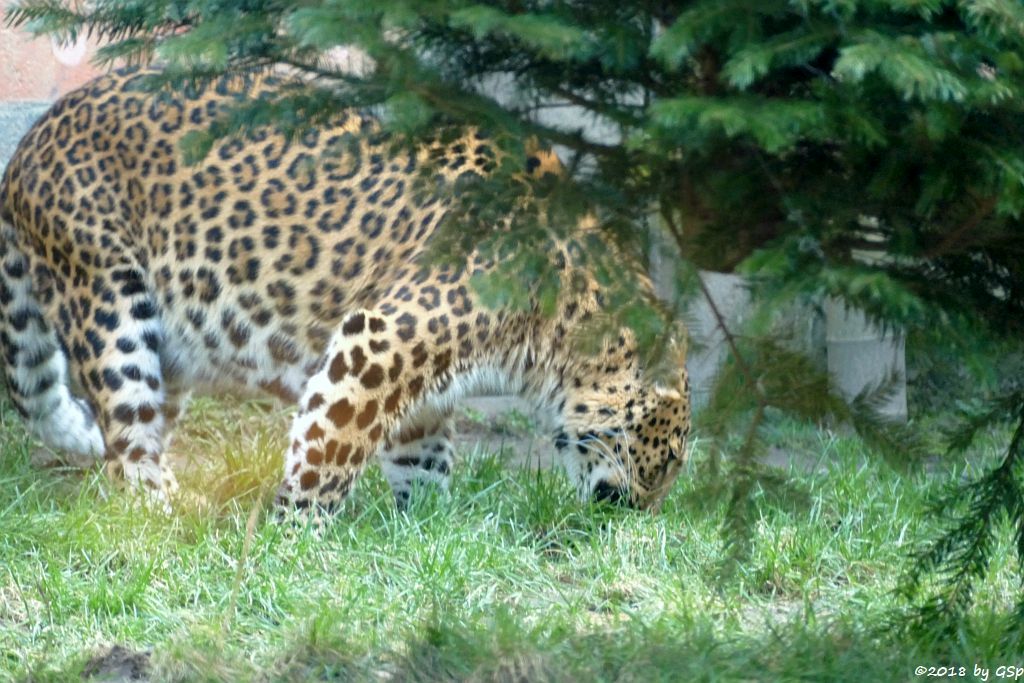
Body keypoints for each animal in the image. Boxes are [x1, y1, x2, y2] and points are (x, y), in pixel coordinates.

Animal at [0, 68, 692, 511]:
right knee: (128, 440)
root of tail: (36, 133)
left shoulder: (425, 386)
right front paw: (294, 531)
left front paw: (428, 531)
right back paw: (164, 510)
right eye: (664, 460)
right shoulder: (378, 341)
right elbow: (330, 446)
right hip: (110, 301)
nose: (637, 514)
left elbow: (423, 457)